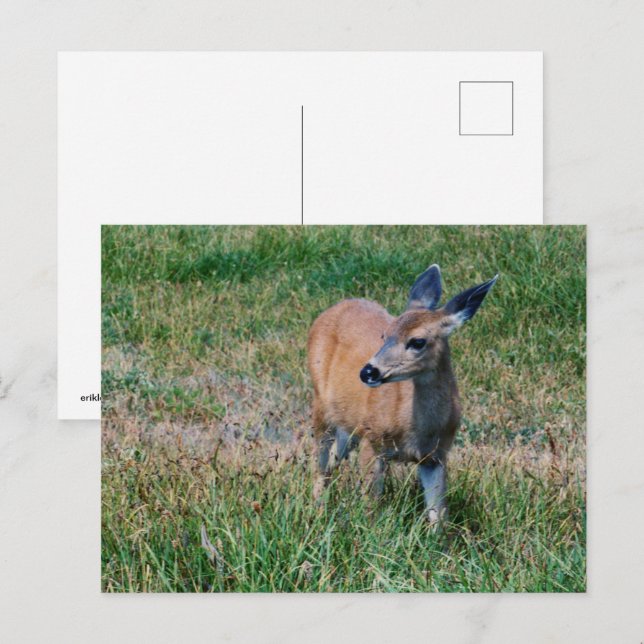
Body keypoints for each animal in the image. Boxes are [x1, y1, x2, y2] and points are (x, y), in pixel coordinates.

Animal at [307, 264, 497, 525]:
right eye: (384, 335)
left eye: (417, 341)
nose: (368, 371)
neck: (415, 429)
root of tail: (335, 307)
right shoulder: (373, 439)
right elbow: (371, 507)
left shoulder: (436, 455)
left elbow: (439, 514)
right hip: (320, 404)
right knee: (319, 461)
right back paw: (316, 512)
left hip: (349, 424)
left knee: (333, 459)